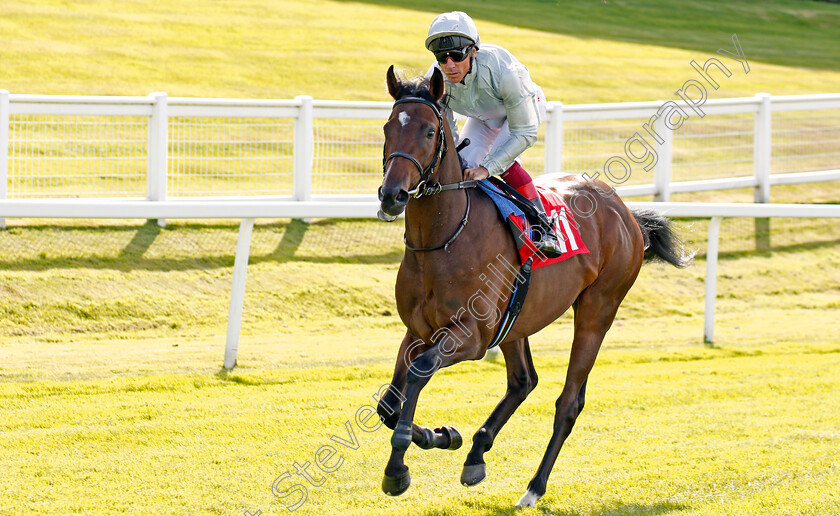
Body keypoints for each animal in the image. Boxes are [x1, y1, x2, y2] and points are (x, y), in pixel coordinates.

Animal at [378, 66, 692, 510]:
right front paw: (443, 436)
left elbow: (420, 373)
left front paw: (399, 468)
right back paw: (476, 453)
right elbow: (389, 402)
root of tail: (625, 212)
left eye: (428, 131)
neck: (443, 238)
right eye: (388, 128)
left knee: (568, 403)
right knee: (523, 381)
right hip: (517, 320)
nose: (392, 195)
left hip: (598, 310)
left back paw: (532, 488)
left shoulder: (472, 337)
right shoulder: (418, 329)